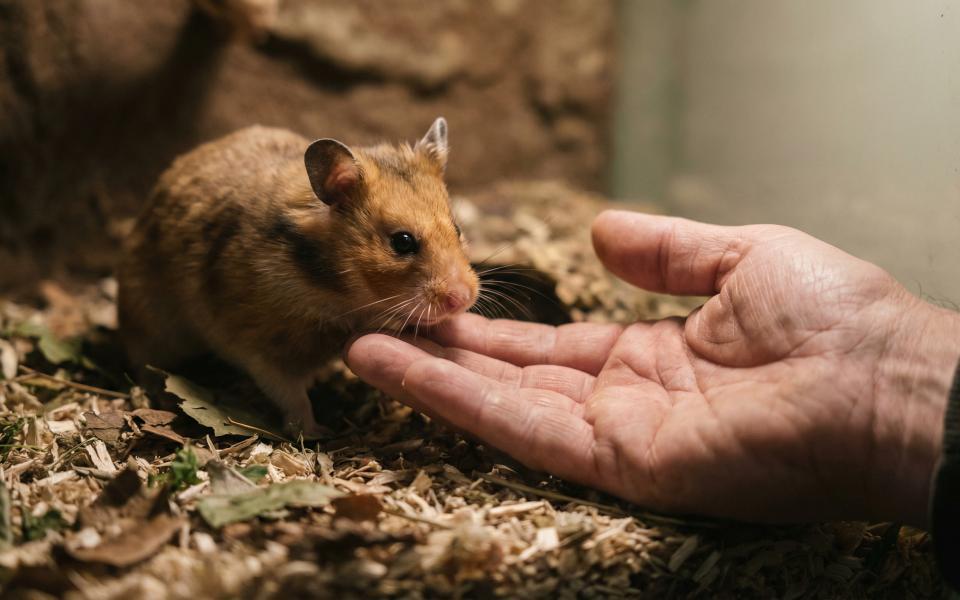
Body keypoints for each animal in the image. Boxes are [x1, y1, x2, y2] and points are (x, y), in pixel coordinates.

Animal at [117, 118, 478, 438]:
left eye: (458, 229)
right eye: (402, 242)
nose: (462, 299)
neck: (336, 291)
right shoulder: (258, 344)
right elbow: (290, 394)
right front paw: (318, 432)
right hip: (149, 321)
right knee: (142, 360)